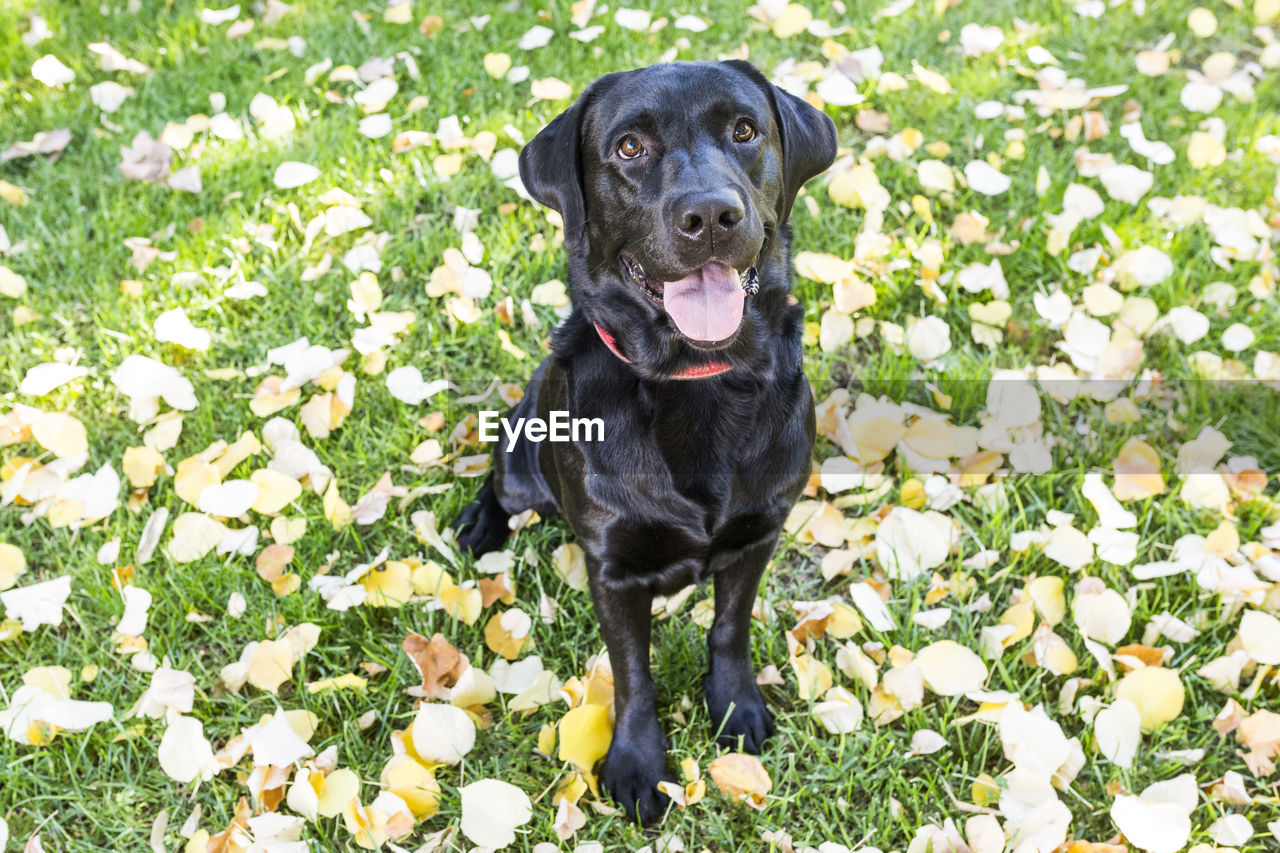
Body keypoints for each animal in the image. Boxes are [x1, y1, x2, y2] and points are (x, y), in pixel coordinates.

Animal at [455, 61, 834, 824]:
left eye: (744, 130)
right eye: (630, 147)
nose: (711, 216)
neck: (696, 379)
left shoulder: (760, 532)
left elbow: (729, 626)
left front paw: (736, 706)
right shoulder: (613, 568)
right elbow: (632, 671)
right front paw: (635, 763)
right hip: (523, 456)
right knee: (501, 481)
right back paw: (481, 523)